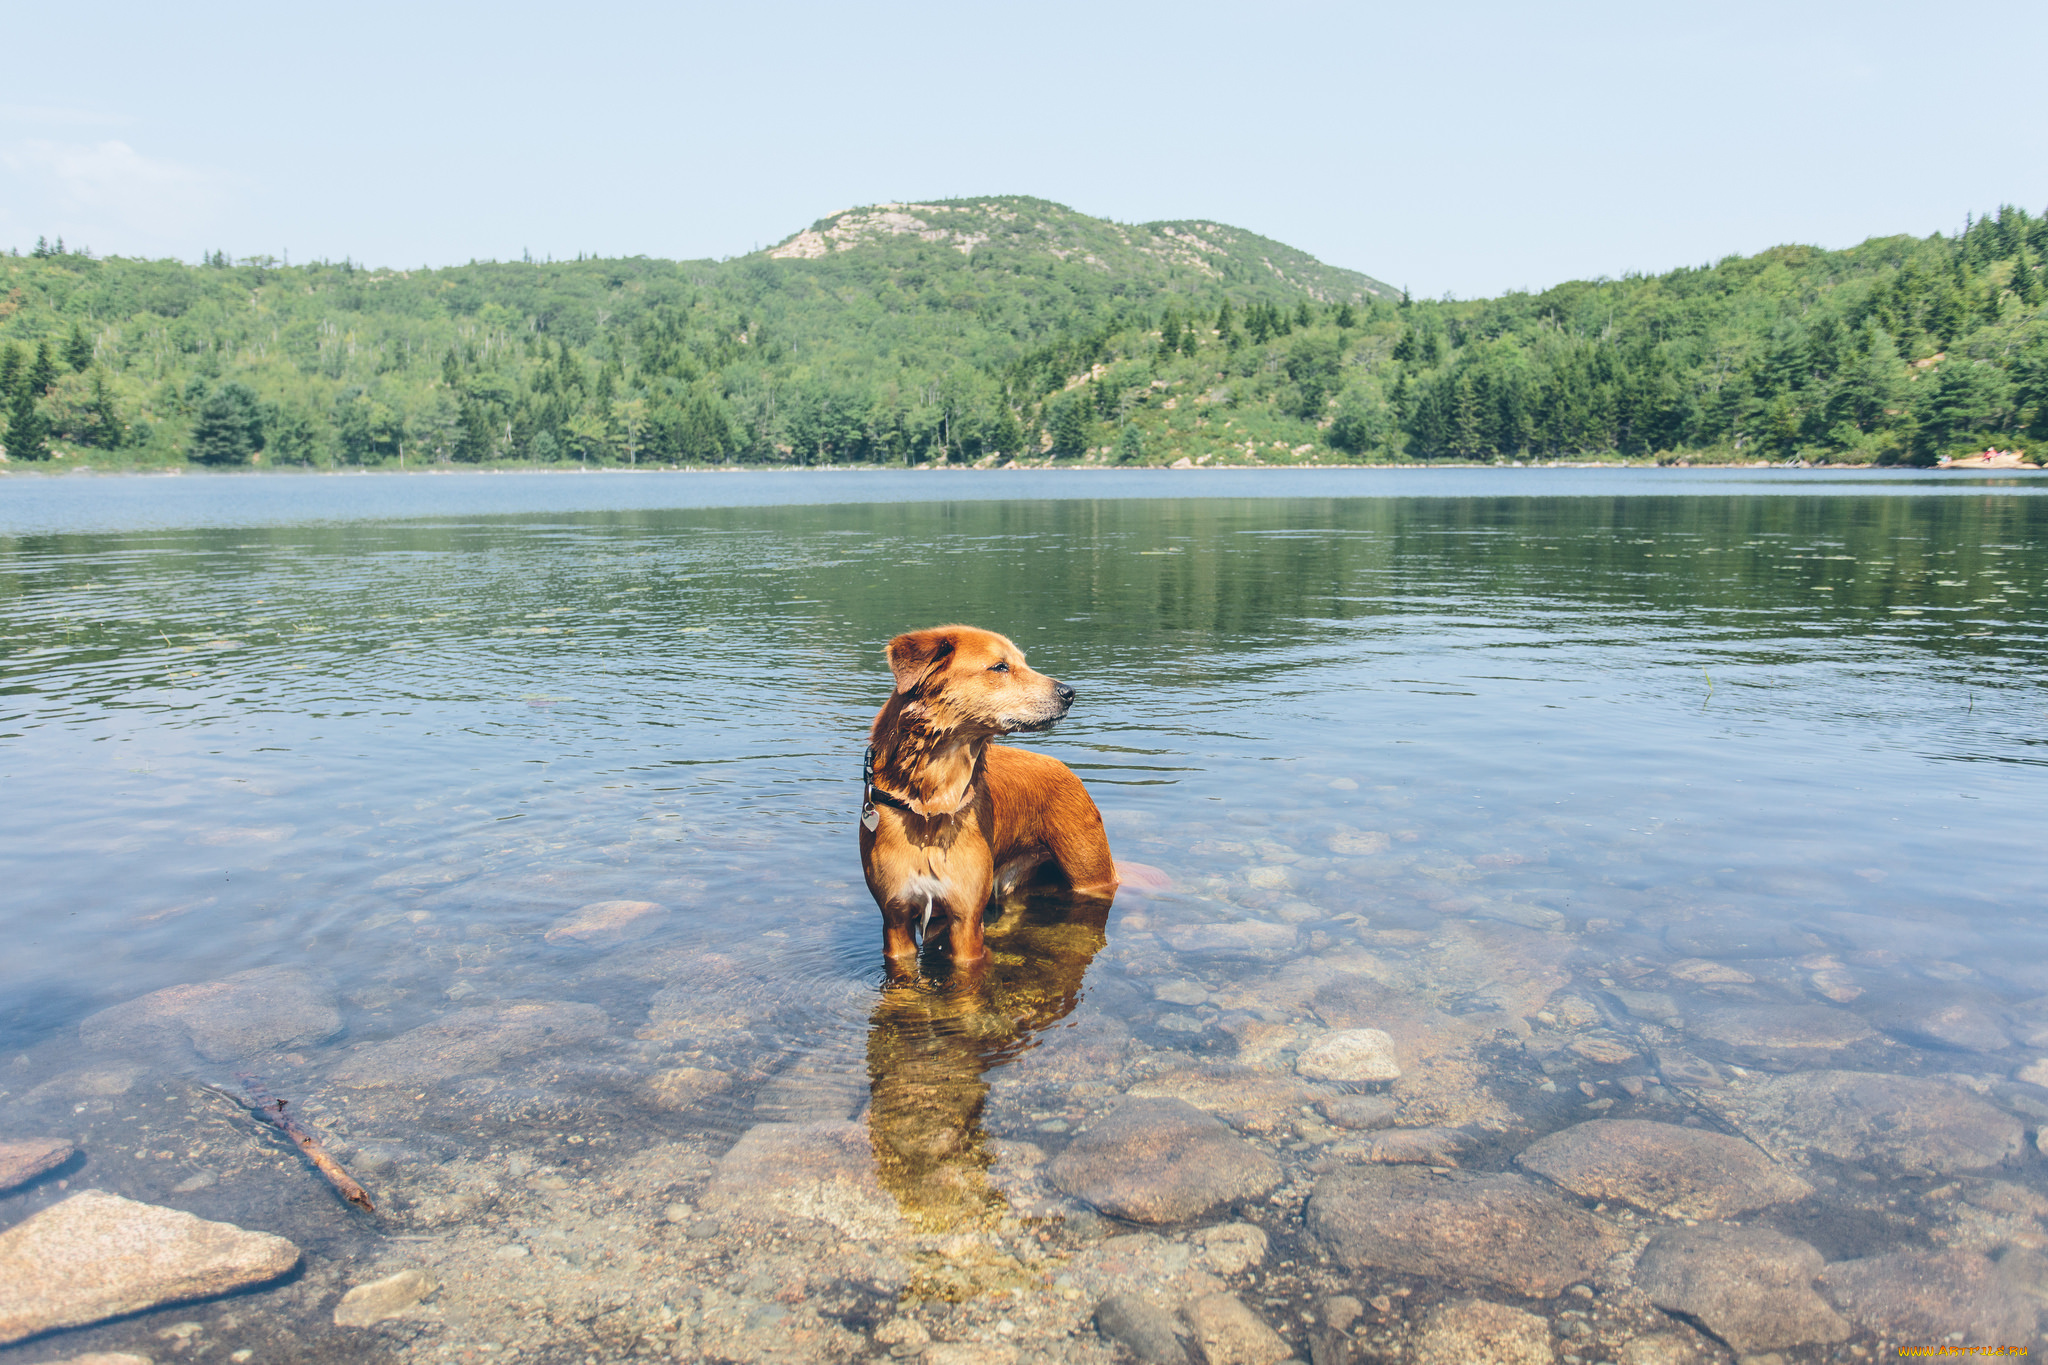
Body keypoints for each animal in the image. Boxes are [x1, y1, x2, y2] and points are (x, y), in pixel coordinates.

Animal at [860, 626, 1130, 970]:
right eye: (1000, 667)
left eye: (1022, 662)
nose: (1069, 692)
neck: (932, 803)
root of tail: (1065, 768)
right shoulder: (895, 919)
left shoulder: (965, 919)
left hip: (1089, 873)